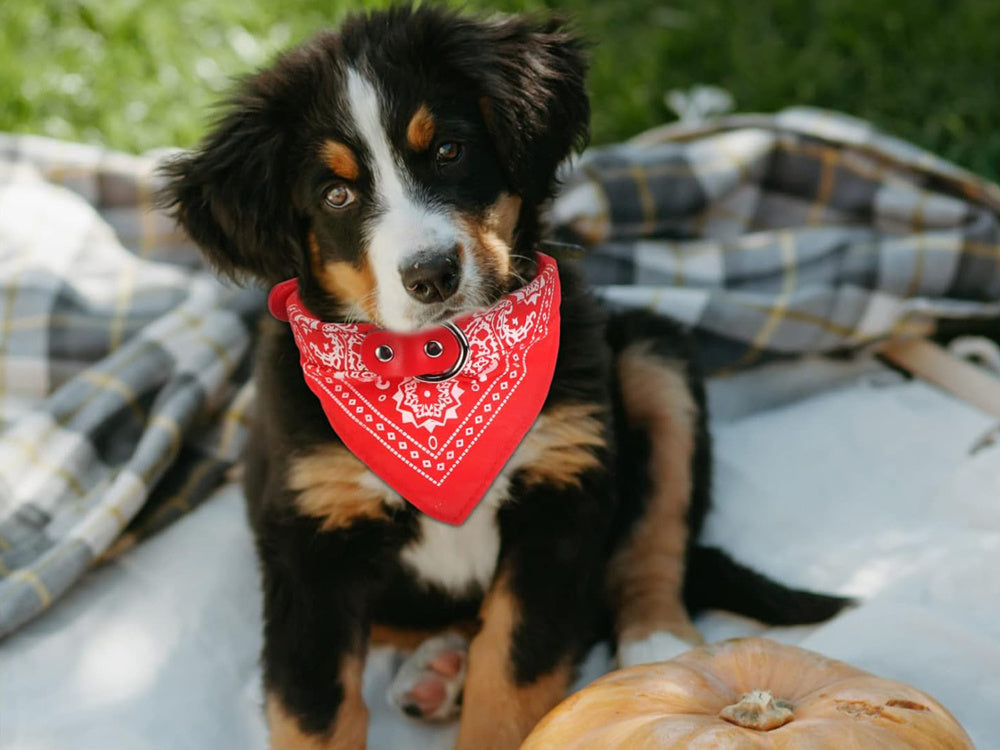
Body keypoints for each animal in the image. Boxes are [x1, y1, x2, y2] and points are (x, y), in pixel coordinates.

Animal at [160, 7, 848, 750]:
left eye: (449, 151)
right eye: (336, 194)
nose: (431, 274)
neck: (437, 370)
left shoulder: (561, 498)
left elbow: (514, 669)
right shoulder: (309, 542)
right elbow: (313, 707)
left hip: (650, 359)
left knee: (655, 539)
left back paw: (662, 660)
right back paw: (437, 670)